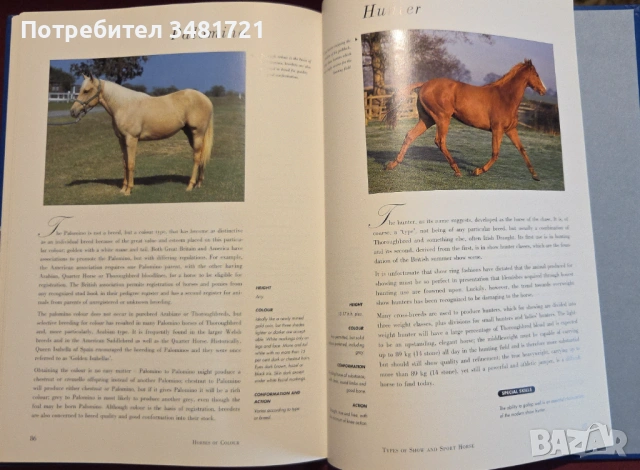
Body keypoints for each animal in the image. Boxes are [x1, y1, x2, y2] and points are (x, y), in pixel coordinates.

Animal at [70, 73, 214, 195]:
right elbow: (125, 163)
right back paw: (199, 183)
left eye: (86, 90)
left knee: (196, 158)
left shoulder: (131, 139)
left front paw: (129, 190)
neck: (124, 105)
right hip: (191, 134)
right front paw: (123, 189)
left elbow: (131, 163)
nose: (73, 111)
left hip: (197, 133)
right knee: (201, 155)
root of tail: (206, 99)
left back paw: (190, 185)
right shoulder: (121, 140)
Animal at [384, 59, 547, 181]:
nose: (543, 91)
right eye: (537, 74)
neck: (505, 97)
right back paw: (456, 170)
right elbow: (495, 153)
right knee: (440, 141)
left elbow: (522, 149)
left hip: (427, 119)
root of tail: (424, 84)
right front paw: (477, 171)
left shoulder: (511, 130)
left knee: (410, 135)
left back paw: (392, 164)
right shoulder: (497, 129)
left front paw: (535, 175)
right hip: (442, 118)